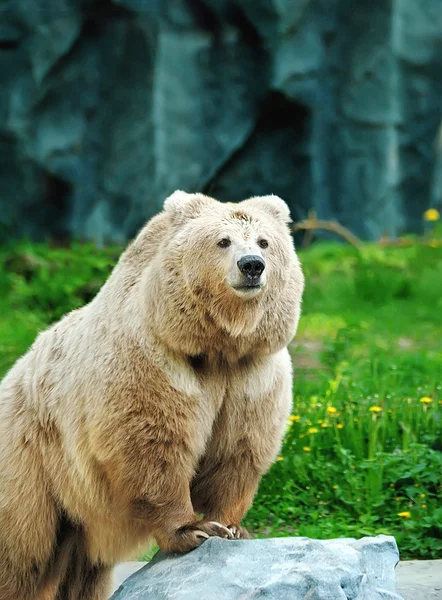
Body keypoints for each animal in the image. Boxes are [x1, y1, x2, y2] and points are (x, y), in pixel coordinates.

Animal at [0, 192, 304, 600]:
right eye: (223, 241)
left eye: (264, 241)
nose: (252, 266)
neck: (214, 345)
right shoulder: (153, 365)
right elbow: (153, 447)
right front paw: (192, 529)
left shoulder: (250, 378)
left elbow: (238, 450)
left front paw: (231, 527)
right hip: (33, 463)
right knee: (22, 554)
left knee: (81, 571)